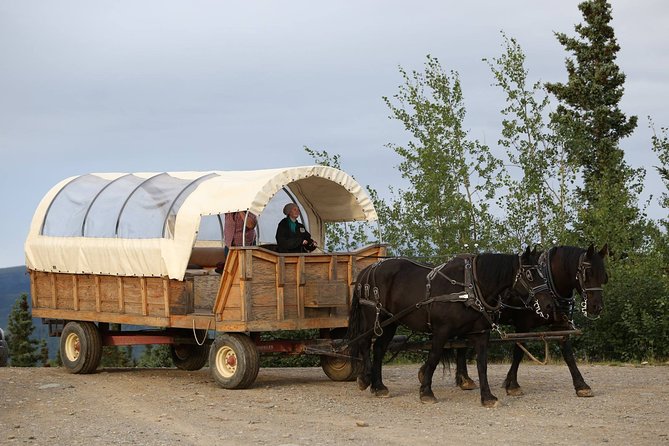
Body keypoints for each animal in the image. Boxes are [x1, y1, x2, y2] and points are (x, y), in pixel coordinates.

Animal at [344, 249, 552, 406]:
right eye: (529, 274)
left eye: (543, 273)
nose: (548, 305)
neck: (470, 288)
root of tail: (368, 270)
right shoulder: (441, 331)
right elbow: (434, 359)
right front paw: (426, 392)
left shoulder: (480, 333)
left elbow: (482, 365)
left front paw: (487, 397)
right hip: (374, 317)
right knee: (364, 343)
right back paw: (366, 378)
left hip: (390, 322)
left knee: (379, 348)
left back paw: (379, 386)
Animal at [454, 244, 604, 398]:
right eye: (589, 273)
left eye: (604, 275)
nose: (597, 307)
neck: (549, 282)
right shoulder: (522, 325)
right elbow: (518, 353)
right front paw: (512, 385)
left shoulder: (560, 325)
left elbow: (568, 353)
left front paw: (581, 385)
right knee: (461, 346)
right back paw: (464, 379)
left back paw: (464, 379)